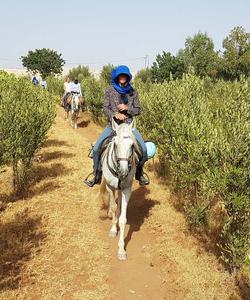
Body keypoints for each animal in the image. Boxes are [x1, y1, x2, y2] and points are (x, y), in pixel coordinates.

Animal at [99, 119, 140, 260]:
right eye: (116, 144)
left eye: (132, 145)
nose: (123, 171)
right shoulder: (110, 187)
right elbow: (112, 206)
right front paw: (113, 230)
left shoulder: (127, 189)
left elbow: (122, 219)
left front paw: (121, 250)